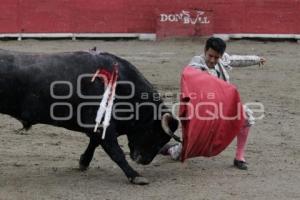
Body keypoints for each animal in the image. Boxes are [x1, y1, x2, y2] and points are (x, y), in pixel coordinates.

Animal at [0, 48, 178, 184]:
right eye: (155, 133)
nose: (144, 160)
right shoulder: (101, 125)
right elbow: (116, 152)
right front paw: (135, 176)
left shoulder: (98, 126)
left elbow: (94, 143)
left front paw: (83, 162)